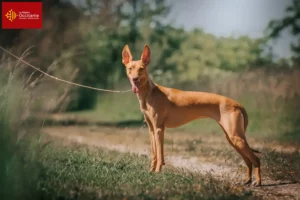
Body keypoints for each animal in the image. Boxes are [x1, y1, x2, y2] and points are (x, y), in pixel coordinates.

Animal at [121, 44, 260, 187]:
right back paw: (247, 180)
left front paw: (158, 171)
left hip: (236, 137)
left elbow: (160, 153)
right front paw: (151, 171)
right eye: (130, 68)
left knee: (256, 159)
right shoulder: (151, 129)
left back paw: (258, 182)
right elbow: (154, 153)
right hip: (232, 138)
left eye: (141, 69)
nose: (135, 79)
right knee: (248, 160)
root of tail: (237, 104)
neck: (150, 93)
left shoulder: (159, 129)